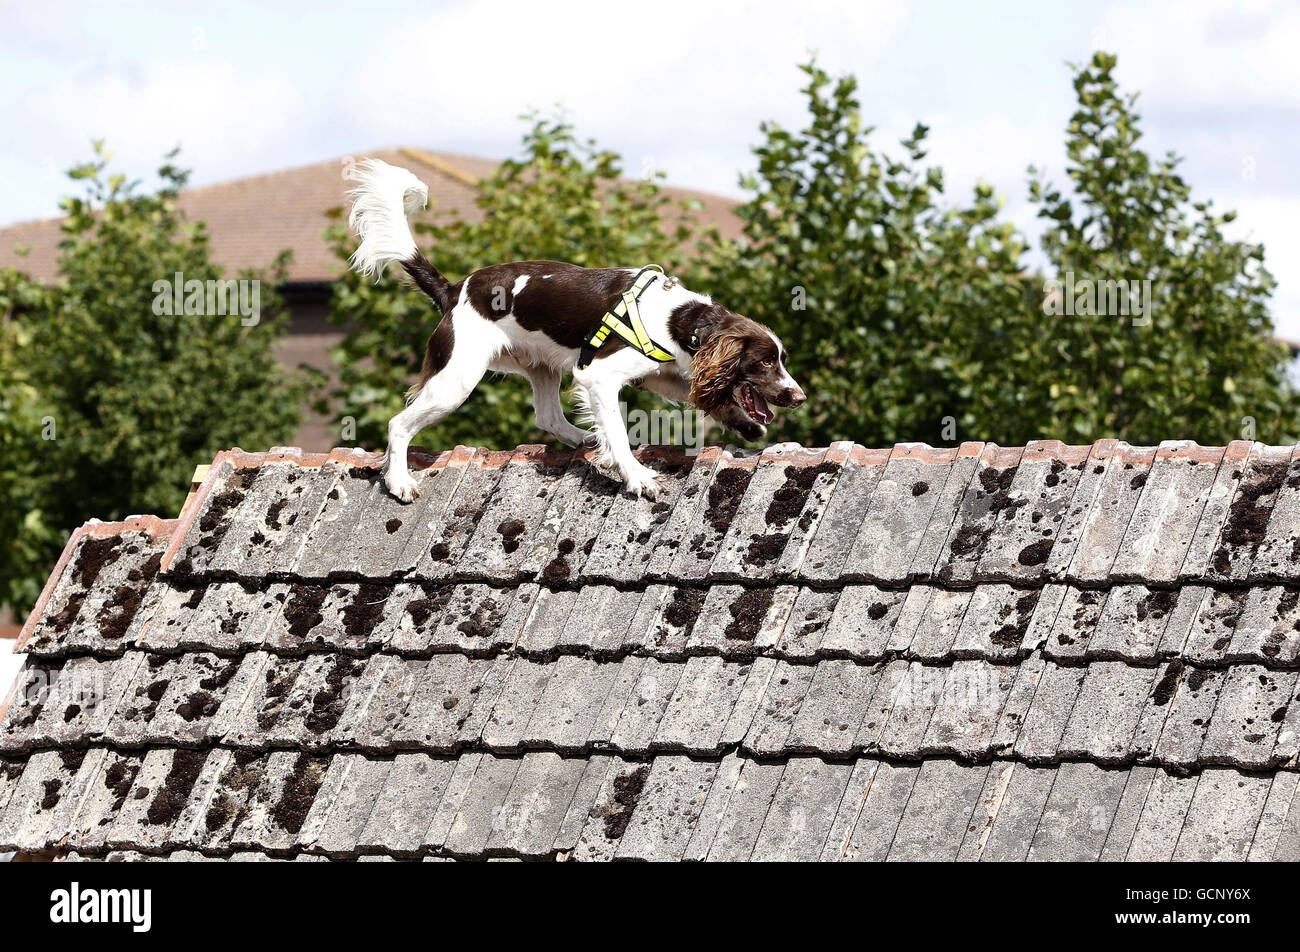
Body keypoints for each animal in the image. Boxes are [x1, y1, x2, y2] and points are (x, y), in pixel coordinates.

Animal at [345, 158, 800, 499]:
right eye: (764, 362)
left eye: (780, 359)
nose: (798, 396)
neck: (678, 318)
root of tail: (453, 289)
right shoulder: (599, 376)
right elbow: (619, 432)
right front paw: (637, 477)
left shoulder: (660, 374)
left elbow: (707, 396)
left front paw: (747, 425)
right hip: (455, 379)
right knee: (398, 424)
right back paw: (399, 481)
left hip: (540, 365)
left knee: (547, 416)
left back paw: (583, 439)